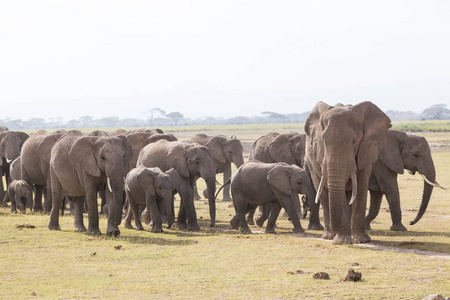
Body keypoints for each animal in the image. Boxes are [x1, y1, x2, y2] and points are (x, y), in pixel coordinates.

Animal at [304, 102, 392, 245]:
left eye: (354, 142)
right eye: (323, 142)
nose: (336, 231)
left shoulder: (366, 150)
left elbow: (361, 189)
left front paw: (362, 240)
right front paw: (342, 241)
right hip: (311, 162)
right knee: (323, 194)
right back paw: (329, 236)